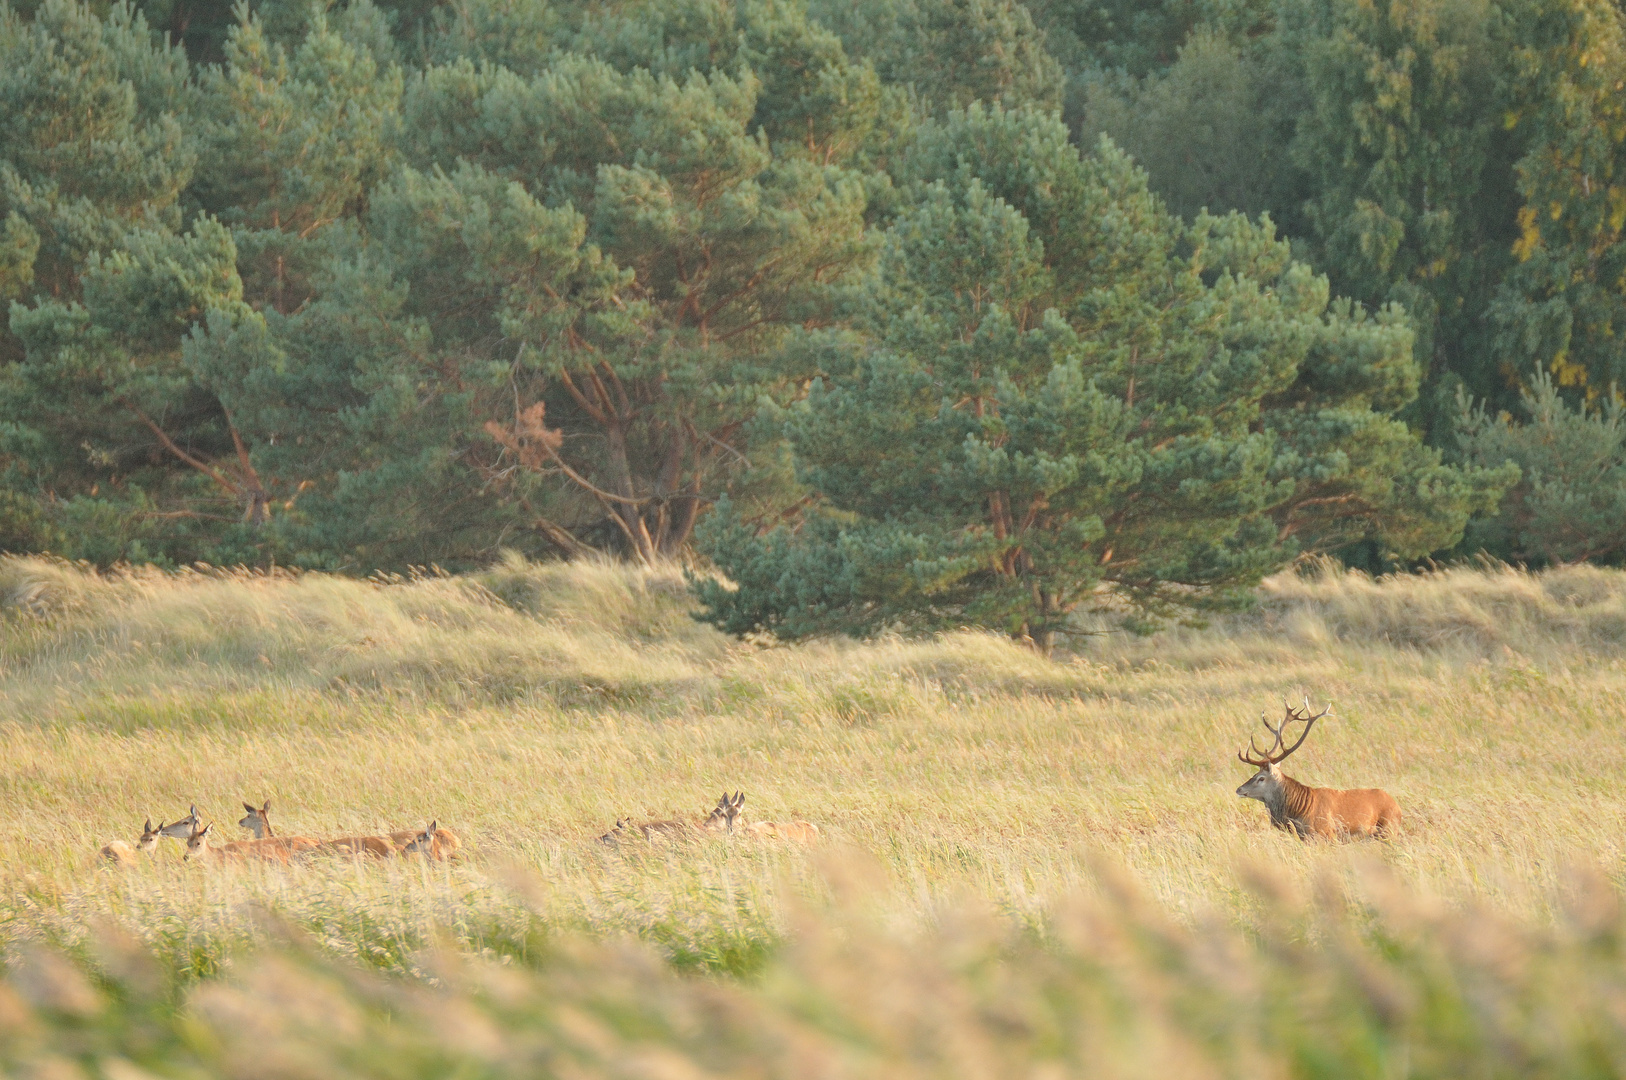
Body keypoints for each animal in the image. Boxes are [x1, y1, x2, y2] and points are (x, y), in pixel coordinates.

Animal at [1235, 699, 1404, 845]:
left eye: (1261, 778)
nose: (1239, 789)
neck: (1299, 812)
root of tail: (1397, 806)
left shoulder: (1325, 835)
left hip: (1388, 830)